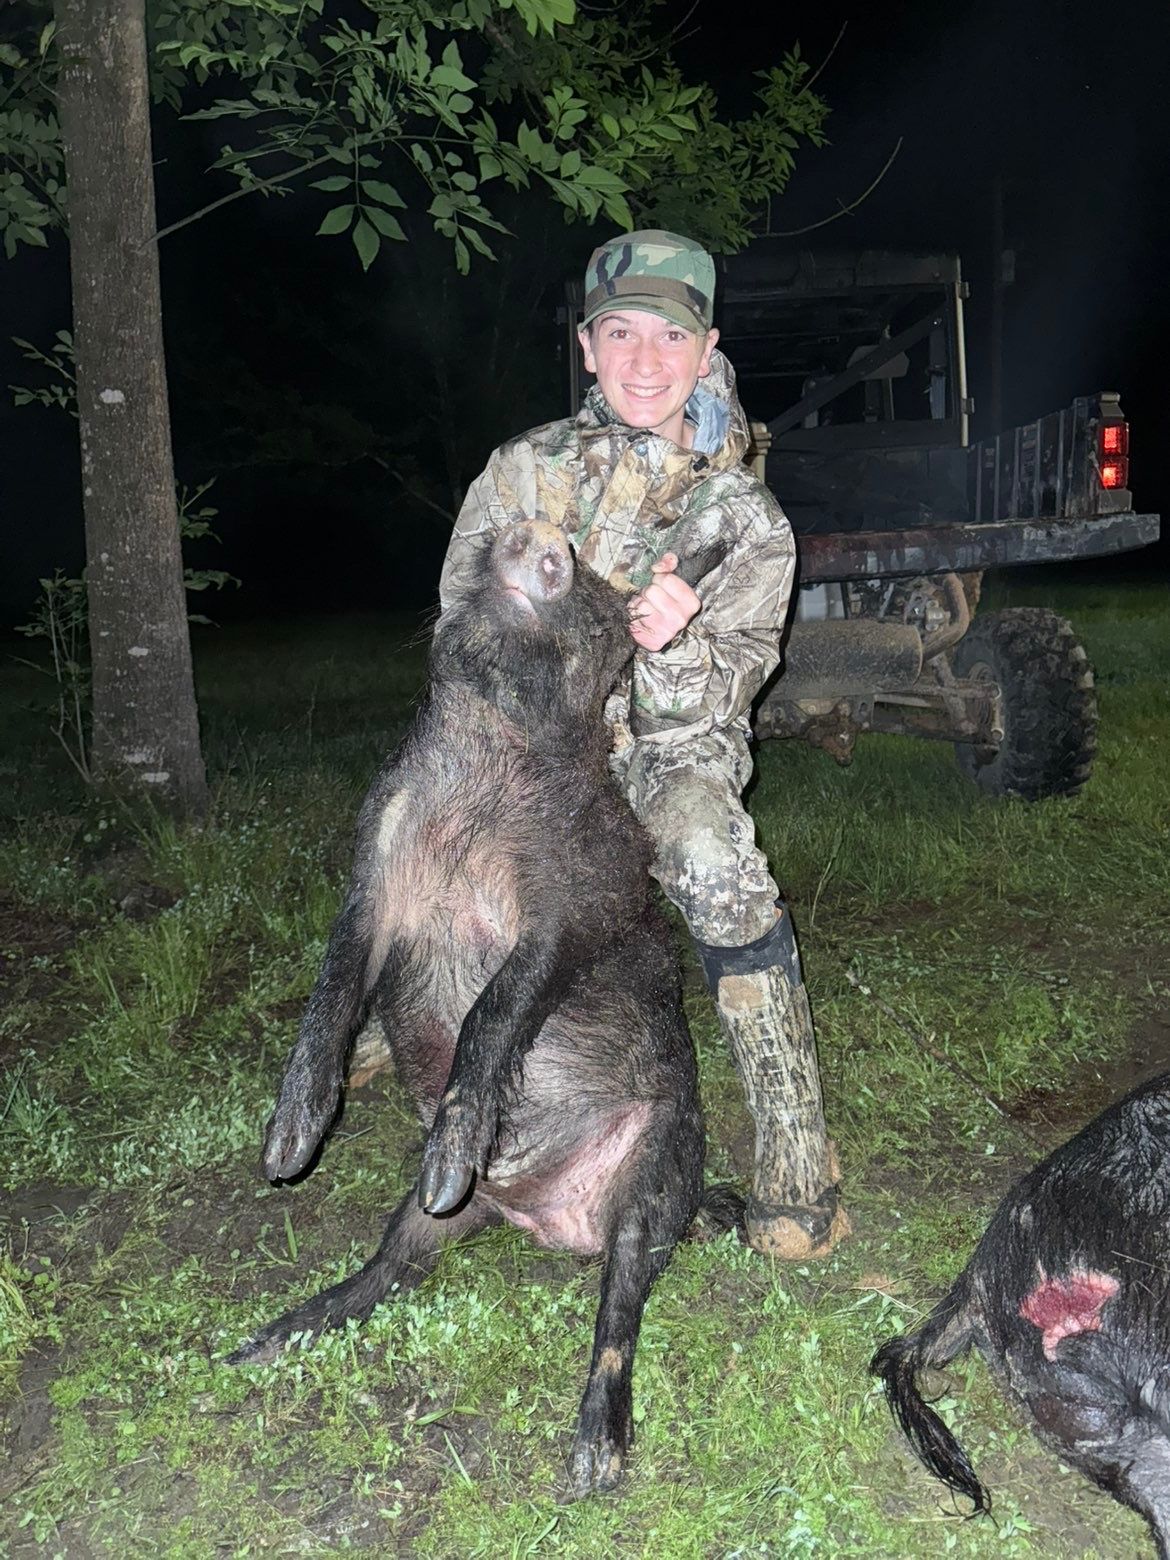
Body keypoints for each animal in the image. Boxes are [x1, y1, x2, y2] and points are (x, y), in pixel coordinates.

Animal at [229, 520, 739, 1497]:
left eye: (608, 617)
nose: (542, 534)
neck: (484, 775)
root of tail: (552, 1225)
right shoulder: (377, 864)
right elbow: (335, 981)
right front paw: (283, 1154)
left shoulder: (574, 902)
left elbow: (496, 1005)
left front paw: (444, 1156)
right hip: (427, 1233)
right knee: (393, 1261)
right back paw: (260, 1342)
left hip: (664, 1162)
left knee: (623, 1297)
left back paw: (591, 1467)